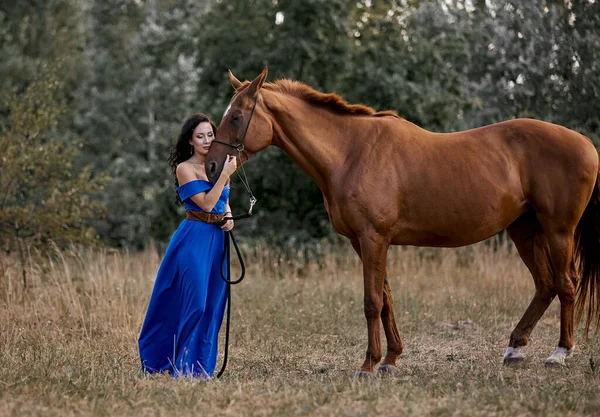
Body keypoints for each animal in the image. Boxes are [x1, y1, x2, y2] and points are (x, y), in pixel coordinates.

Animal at [206, 66, 600, 376]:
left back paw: (559, 354)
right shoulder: (365, 241)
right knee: (545, 285)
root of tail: (585, 143)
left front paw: (368, 365)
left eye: (237, 117)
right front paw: (390, 360)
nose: (211, 166)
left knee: (566, 284)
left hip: (558, 231)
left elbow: (372, 302)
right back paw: (515, 348)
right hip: (524, 231)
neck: (350, 152)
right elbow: (386, 299)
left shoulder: (373, 238)